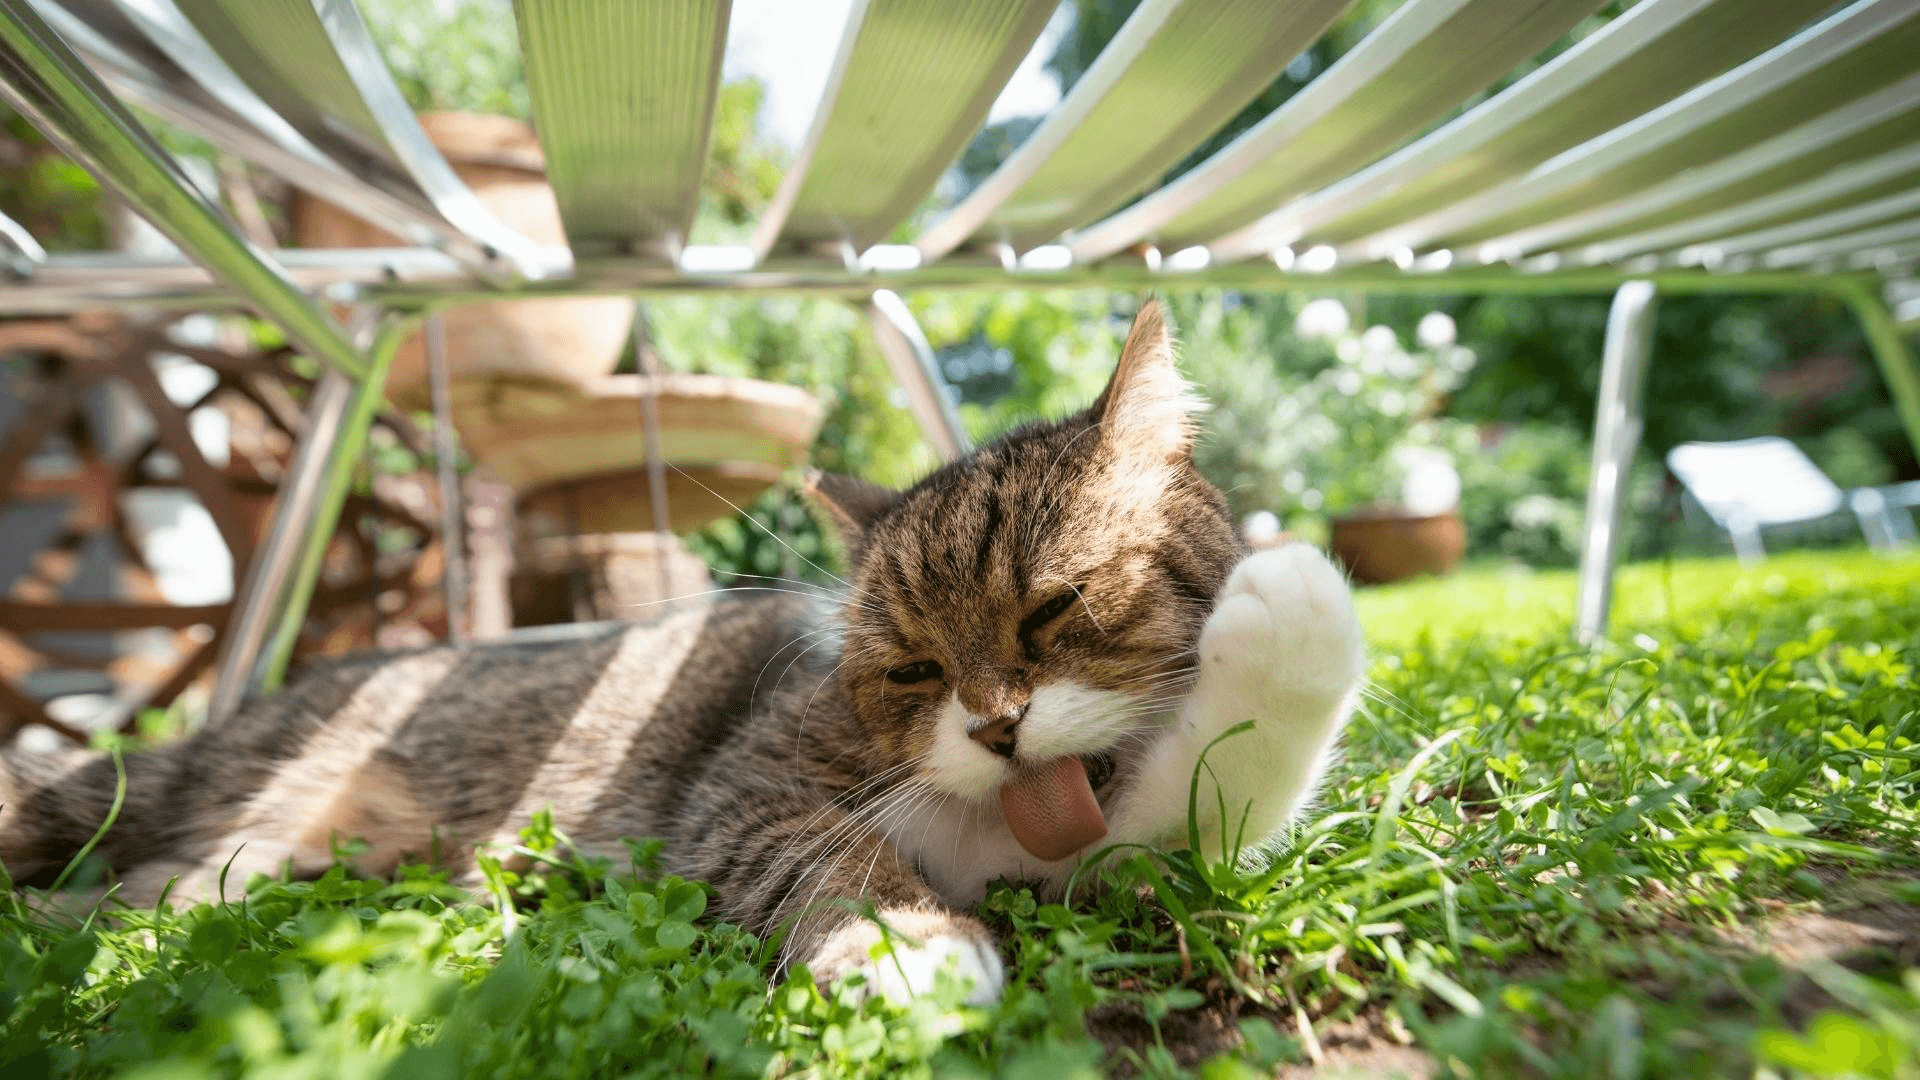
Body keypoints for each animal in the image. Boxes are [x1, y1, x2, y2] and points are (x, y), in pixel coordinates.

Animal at [0, 295, 1367, 999]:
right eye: (913, 670)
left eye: (1051, 610)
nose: (993, 726)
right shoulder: (745, 792)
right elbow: (828, 858)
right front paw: (907, 942)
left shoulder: (1109, 853)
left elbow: (1204, 802)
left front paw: (1286, 635)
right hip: (184, 804)